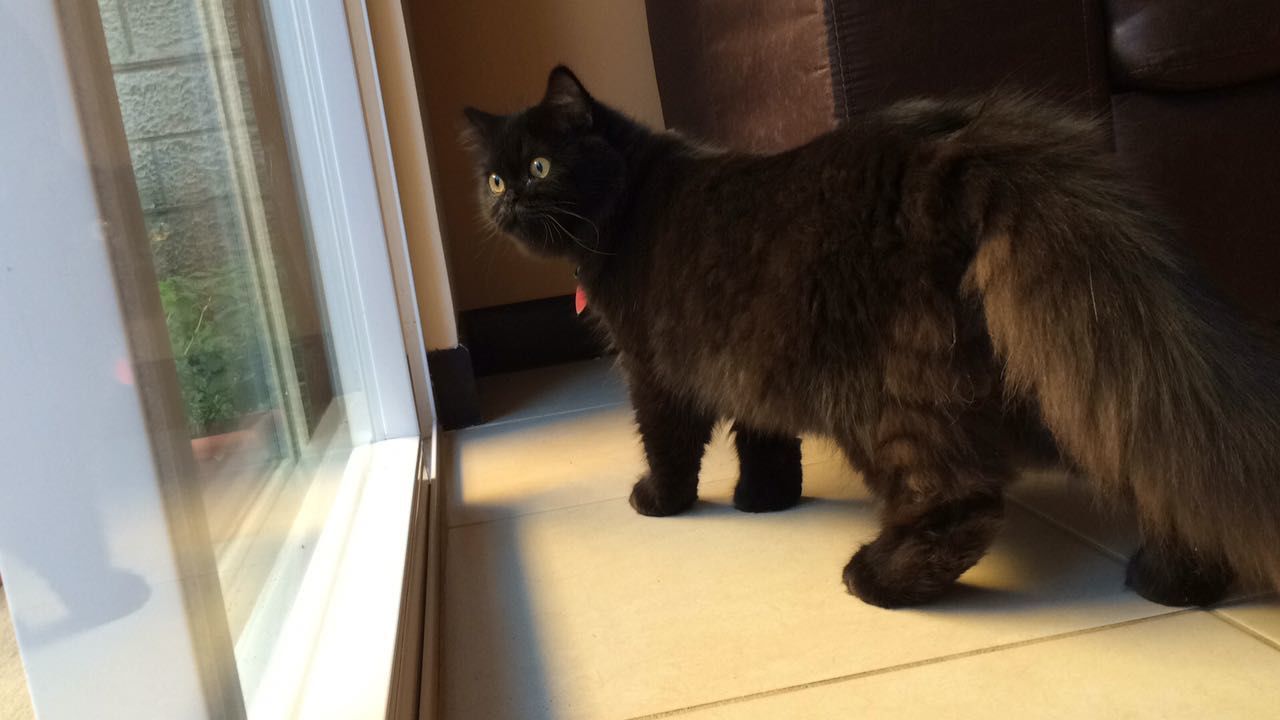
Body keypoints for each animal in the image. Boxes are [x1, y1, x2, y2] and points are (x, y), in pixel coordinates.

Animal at [460, 65, 1280, 604]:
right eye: (494, 179)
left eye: (540, 166)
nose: (504, 205)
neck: (631, 197)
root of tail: (957, 156)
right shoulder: (749, 360)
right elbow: (764, 437)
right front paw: (765, 499)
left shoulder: (653, 369)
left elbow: (670, 444)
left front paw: (663, 502)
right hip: (1053, 369)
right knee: (1156, 463)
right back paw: (1181, 579)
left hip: (888, 401)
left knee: (962, 501)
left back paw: (878, 580)